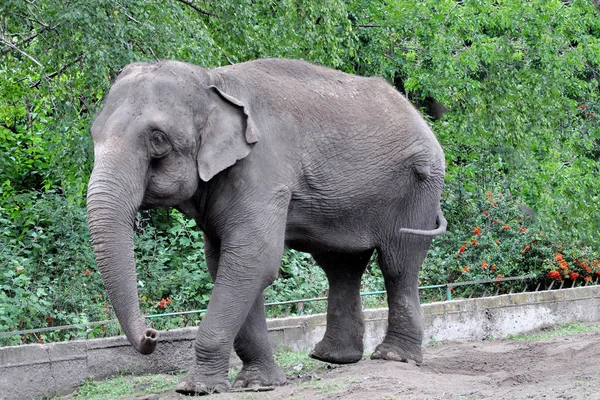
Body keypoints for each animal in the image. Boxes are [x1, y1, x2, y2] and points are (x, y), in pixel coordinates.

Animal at [86, 57, 448, 396]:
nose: (152, 335)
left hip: (417, 188)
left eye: (158, 139)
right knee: (341, 266)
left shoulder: (262, 171)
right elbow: (227, 263)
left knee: (398, 265)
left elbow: (253, 259)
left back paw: (392, 357)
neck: (213, 81)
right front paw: (258, 384)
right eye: (93, 134)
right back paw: (332, 358)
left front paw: (195, 388)